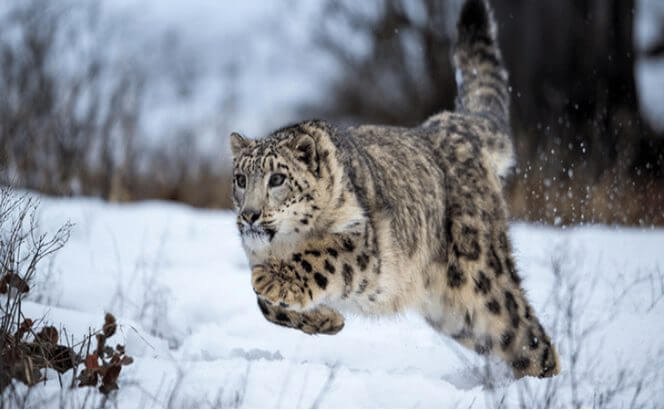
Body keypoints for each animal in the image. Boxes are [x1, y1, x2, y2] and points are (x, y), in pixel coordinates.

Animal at [229, 0, 560, 379]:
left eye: (277, 179)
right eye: (240, 179)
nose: (249, 215)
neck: (280, 245)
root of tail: (451, 122)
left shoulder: (361, 242)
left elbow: (318, 257)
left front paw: (271, 279)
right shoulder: (254, 253)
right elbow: (264, 305)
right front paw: (327, 319)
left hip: (482, 279)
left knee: (529, 335)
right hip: (460, 314)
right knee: (514, 342)